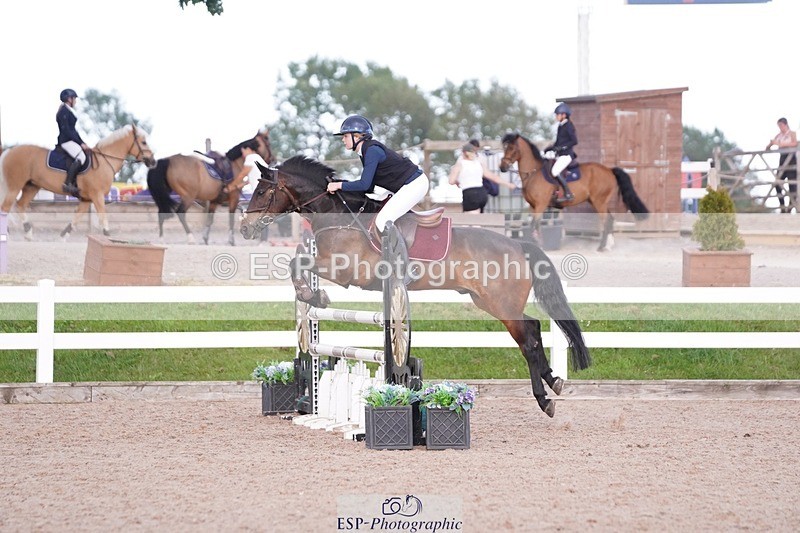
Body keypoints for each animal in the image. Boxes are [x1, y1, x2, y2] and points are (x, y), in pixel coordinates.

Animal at [0, 125, 156, 240]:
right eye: (143, 142)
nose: (153, 161)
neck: (105, 161)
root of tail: (9, 152)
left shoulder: (87, 199)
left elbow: (77, 217)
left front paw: (63, 236)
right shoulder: (97, 195)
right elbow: (102, 215)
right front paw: (107, 235)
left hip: (32, 186)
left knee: (20, 205)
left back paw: (28, 233)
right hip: (15, 186)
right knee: (6, 207)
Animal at [146, 130, 274, 245]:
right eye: (267, 143)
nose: (273, 159)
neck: (234, 164)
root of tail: (167, 160)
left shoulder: (214, 201)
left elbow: (210, 220)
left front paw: (206, 238)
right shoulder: (234, 198)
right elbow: (230, 220)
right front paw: (231, 241)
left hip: (163, 195)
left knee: (161, 213)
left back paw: (162, 239)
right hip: (188, 196)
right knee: (181, 213)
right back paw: (190, 238)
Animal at [239, 155, 591, 418]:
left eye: (262, 193)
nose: (244, 229)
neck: (337, 216)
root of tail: (519, 244)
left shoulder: (346, 271)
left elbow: (298, 264)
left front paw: (314, 295)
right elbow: (297, 264)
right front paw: (313, 296)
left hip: (501, 304)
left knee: (528, 340)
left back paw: (545, 399)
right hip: (489, 301)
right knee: (532, 328)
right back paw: (554, 381)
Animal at [500, 133, 649, 252]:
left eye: (512, 148)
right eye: (505, 148)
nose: (502, 167)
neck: (533, 173)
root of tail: (609, 170)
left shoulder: (541, 205)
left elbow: (533, 225)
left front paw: (536, 245)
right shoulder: (533, 206)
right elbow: (536, 225)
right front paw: (537, 243)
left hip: (599, 201)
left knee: (606, 221)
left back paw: (601, 247)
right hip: (596, 201)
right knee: (610, 219)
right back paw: (609, 245)